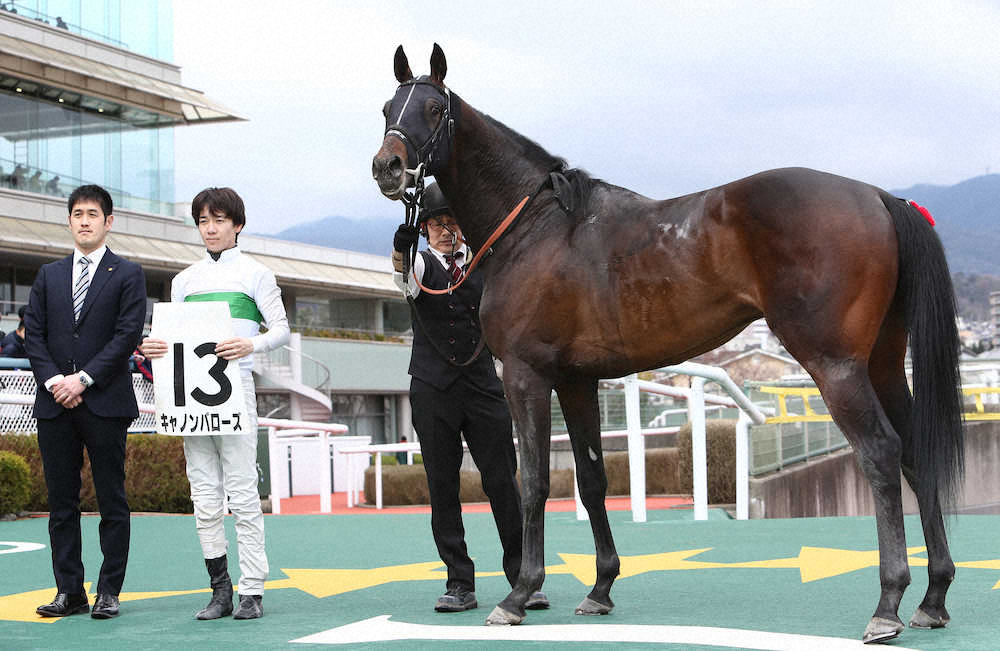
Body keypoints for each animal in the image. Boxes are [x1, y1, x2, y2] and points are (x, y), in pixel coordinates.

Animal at [372, 44, 964, 644]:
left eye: (432, 109)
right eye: (387, 107)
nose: (387, 167)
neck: (535, 225)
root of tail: (879, 197)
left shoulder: (525, 374)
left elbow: (533, 481)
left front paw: (519, 594)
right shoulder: (577, 380)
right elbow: (591, 479)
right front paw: (600, 588)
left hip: (836, 366)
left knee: (881, 453)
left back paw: (888, 604)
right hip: (883, 364)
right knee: (915, 453)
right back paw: (933, 597)